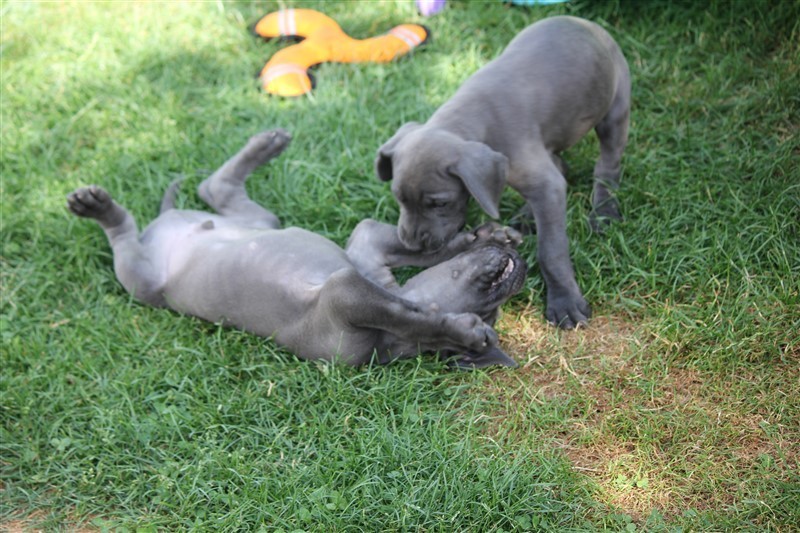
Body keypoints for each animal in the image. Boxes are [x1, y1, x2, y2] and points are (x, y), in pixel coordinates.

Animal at [67, 129, 526, 368]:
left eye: (492, 313)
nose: (519, 271)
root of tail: (165, 225)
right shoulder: (361, 261)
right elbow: (418, 258)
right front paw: (483, 236)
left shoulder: (347, 294)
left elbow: (416, 318)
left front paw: (457, 329)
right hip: (248, 227)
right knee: (211, 188)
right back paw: (266, 145)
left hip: (143, 276)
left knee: (169, 211)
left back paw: (99, 208)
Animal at [374, 16, 631, 329]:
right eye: (399, 198)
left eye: (439, 203)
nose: (411, 246)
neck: (468, 117)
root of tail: (584, 21)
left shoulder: (545, 184)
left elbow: (551, 250)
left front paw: (565, 302)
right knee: (560, 165)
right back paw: (526, 216)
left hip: (615, 108)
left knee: (607, 164)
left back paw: (605, 210)